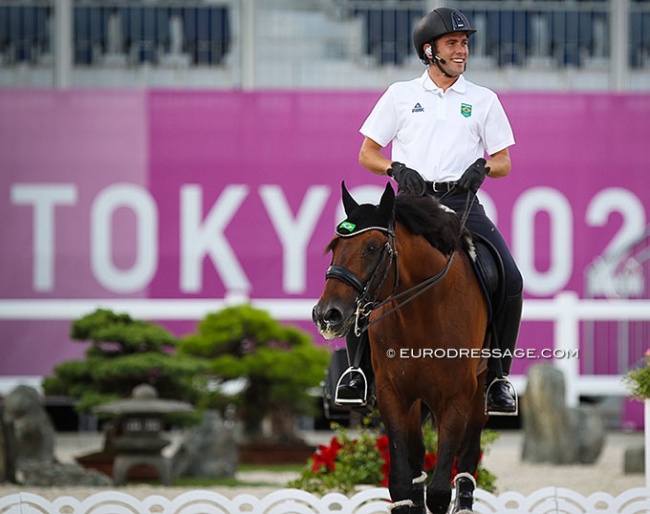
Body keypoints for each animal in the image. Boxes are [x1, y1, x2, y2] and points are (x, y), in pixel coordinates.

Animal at [312, 181, 486, 512]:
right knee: (416, 460)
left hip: (478, 391)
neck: (422, 311)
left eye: (372, 247)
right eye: (335, 247)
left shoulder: (456, 398)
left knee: (468, 457)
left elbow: (440, 490)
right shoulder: (392, 394)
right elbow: (401, 482)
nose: (327, 315)